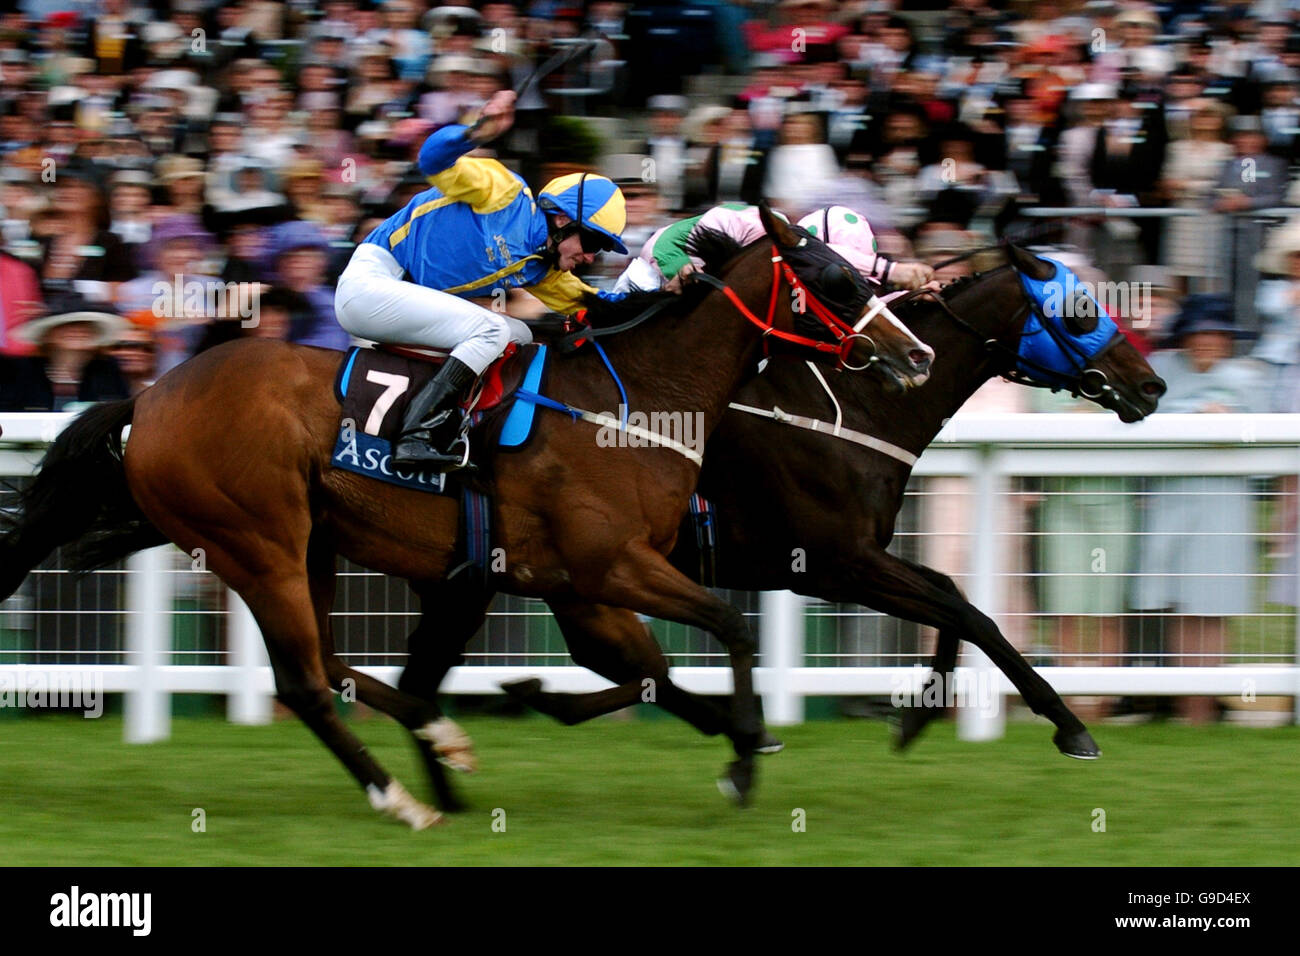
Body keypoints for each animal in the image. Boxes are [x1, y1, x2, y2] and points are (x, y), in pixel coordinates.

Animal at [0, 205, 935, 827]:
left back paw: (440, 740)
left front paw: (731, 739)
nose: (916, 353)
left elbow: (657, 665)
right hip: (257, 540)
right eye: (836, 280)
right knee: (304, 683)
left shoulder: (583, 583)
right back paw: (402, 798)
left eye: (870, 273)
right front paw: (744, 753)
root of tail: (150, 399)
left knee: (338, 665)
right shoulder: (609, 564)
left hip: (310, 544)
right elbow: (729, 627)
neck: (635, 399)